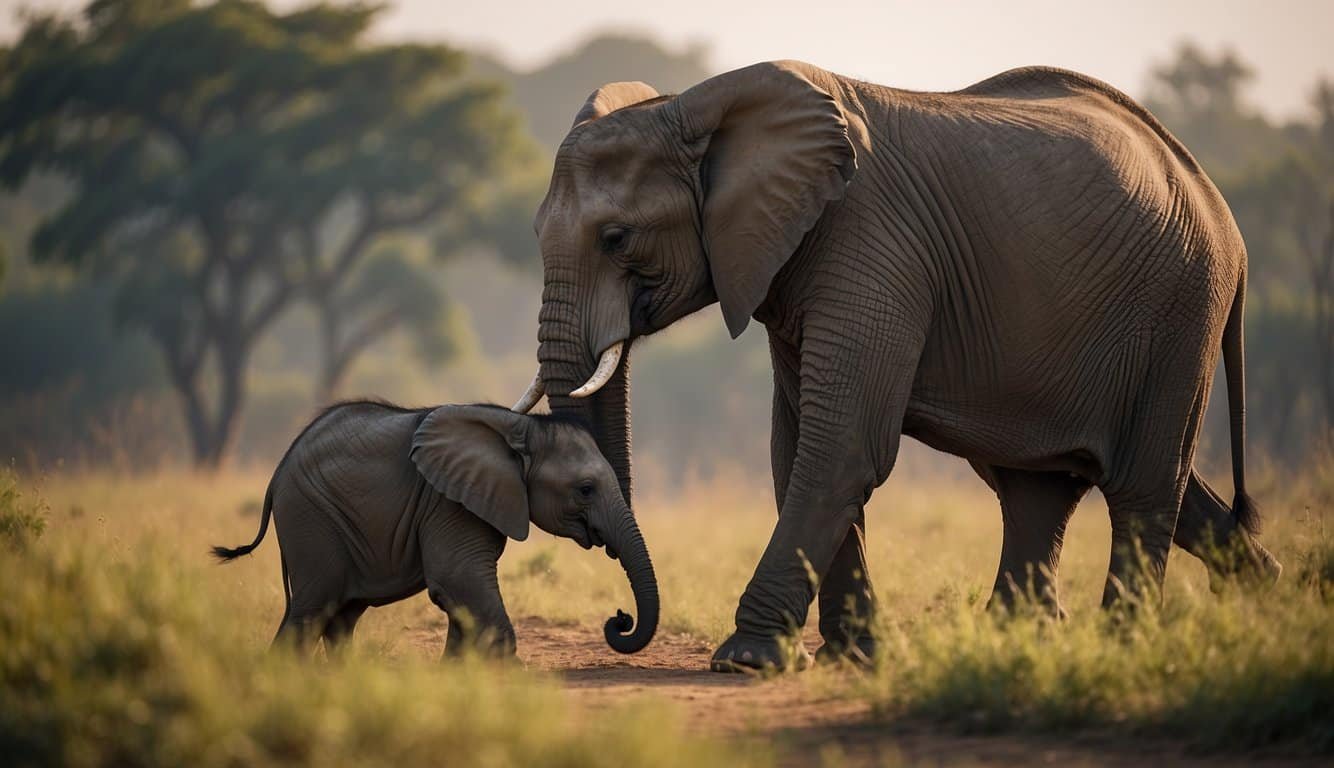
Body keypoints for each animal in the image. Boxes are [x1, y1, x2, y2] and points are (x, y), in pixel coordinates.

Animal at [209, 400, 661, 656]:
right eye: (585, 489)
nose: (619, 617)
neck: (519, 427)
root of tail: (276, 476)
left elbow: (460, 599)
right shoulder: (449, 504)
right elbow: (458, 581)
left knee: (340, 618)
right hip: (311, 517)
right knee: (312, 610)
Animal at [512, 61, 1280, 672]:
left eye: (617, 238)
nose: (619, 625)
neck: (698, 106)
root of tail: (1223, 212)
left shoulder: (869, 247)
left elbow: (840, 445)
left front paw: (746, 661)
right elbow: (798, 444)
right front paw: (853, 657)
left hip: (1181, 310)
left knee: (1142, 485)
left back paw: (1126, 645)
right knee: (1047, 487)